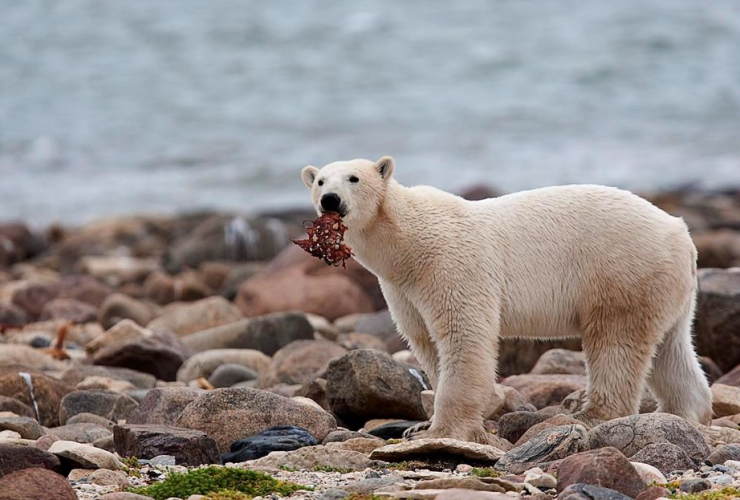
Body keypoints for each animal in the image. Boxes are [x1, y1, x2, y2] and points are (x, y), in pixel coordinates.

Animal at [300, 157, 712, 446]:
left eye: (353, 178)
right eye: (320, 180)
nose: (330, 200)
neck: (407, 243)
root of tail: (681, 233)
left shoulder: (451, 265)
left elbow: (463, 335)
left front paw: (440, 430)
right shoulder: (402, 288)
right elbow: (425, 341)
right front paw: (420, 425)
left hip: (621, 271)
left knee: (615, 343)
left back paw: (592, 414)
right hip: (665, 287)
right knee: (671, 351)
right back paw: (686, 414)